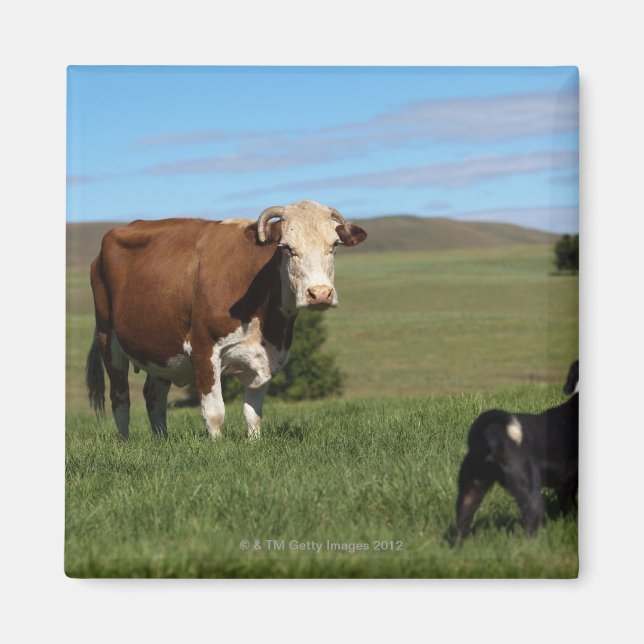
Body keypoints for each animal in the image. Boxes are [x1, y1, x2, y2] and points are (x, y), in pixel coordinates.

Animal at [85, 200, 367, 440]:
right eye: (286, 247)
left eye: (334, 246)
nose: (319, 293)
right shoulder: (202, 347)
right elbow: (215, 411)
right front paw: (218, 447)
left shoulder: (266, 355)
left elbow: (253, 414)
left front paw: (254, 443)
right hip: (108, 339)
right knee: (120, 400)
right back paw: (125, 442)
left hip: (161, 348)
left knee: (154, 396)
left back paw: (162, 440)